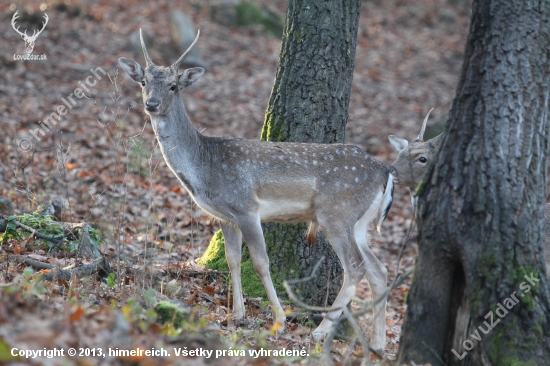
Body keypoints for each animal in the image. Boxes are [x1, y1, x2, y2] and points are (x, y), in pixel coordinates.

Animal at [119, 29, 396, 352]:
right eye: (143, 82)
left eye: (174, 86)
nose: (151, 103)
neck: (205, 168)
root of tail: (385, 172)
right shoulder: (225, 217)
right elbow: (233, 261)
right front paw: (237, 314)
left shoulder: (246, 207)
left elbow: (262, 263)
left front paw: (279, 319)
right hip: (360, 222)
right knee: (379, 270)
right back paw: (378, 343)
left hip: (337, 212)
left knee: (356, 267)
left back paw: (320, 331)